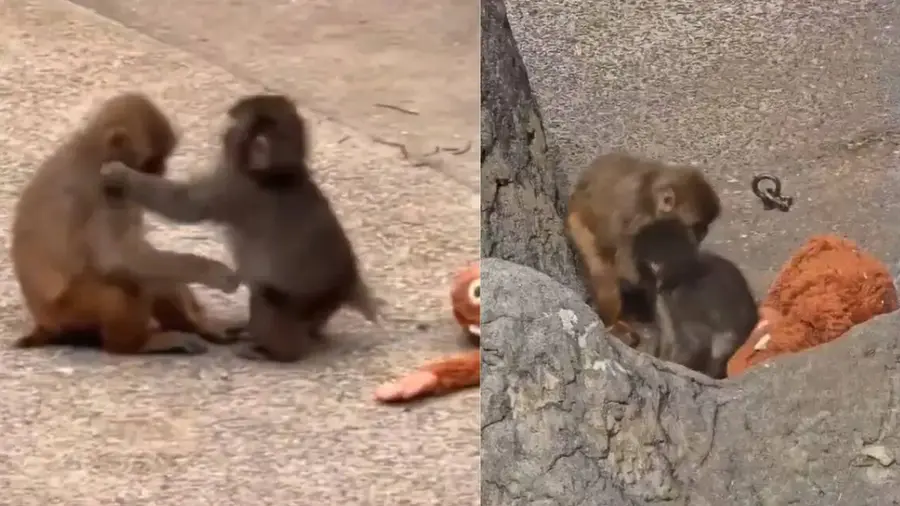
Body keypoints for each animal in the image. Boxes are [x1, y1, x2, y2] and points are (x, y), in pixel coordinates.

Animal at [11, 92, 242, 355]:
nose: (162, 169)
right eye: (152, 160)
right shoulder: (101, 189)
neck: (93, 151)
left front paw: (200, 321)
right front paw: (210, 270)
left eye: (163, 158)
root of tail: (42, 322)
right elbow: (117, 259)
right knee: (125, 283)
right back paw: (134, 345)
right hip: (69, 312)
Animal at [99, 93, 379, 363]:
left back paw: (277, 353)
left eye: (234, 126)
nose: (223, 132)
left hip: (305, 298)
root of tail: (348, 282)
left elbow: (186, 205)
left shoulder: (234, 188)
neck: (273, 175)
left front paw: (123, 175)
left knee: (268, 298)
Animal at [565, 152, 721, 342]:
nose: (703, 234)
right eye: (697, 226)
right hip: (578, 227)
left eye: (705, 226)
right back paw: (613, 324)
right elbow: (626, 266)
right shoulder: (635, 219)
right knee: (604, 273)